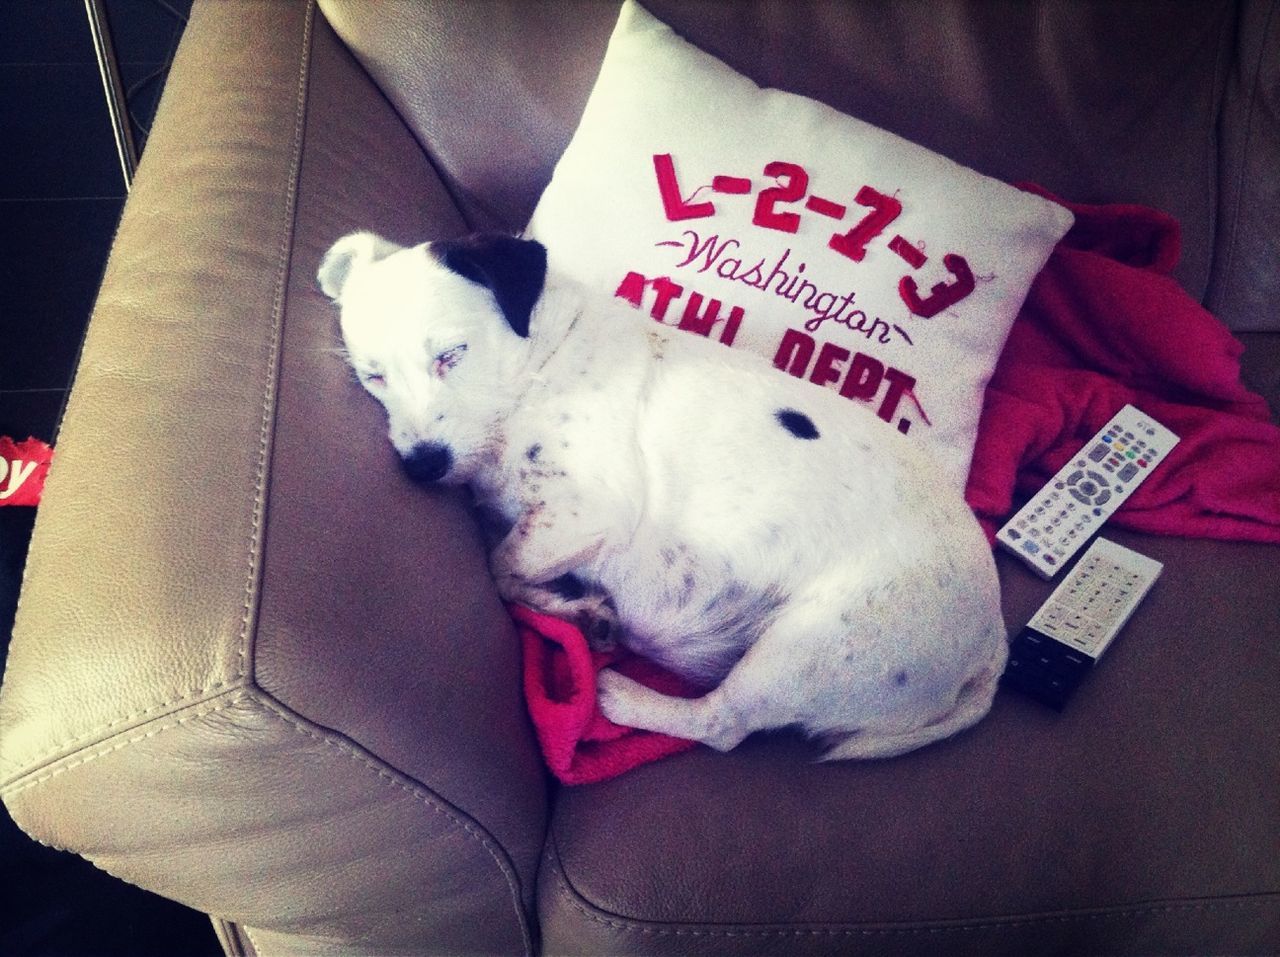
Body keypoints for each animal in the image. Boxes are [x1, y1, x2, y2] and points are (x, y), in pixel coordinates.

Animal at [314, 231, 1003, 762]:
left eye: (451, 355)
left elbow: (502, 565)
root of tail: (993, 641)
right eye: (372, 375)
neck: (542, 364)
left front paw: (572, 610)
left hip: (811, 643)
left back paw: (623, 697)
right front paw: (576, 610)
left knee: (722, 724)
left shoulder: (588, 510)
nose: (421, 466)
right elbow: (507, 565)